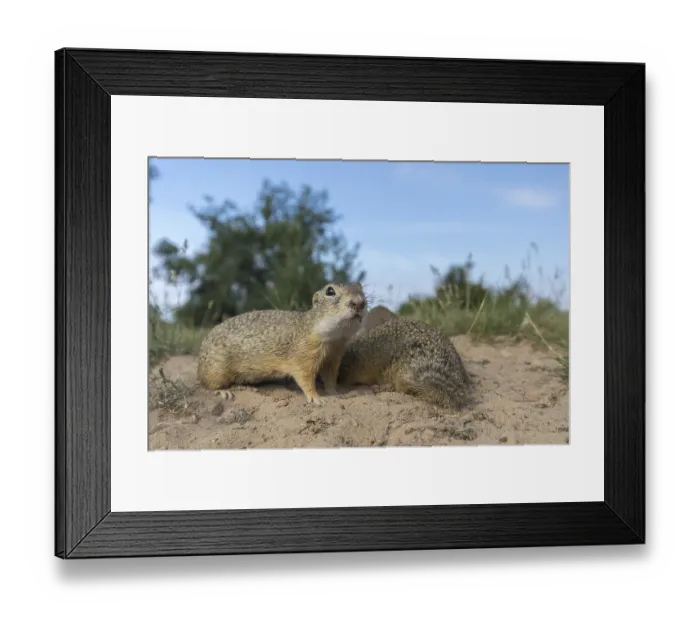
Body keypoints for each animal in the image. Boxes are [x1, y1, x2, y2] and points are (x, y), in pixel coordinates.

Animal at [196, 282, 367, 405]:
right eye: (330, 291)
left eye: (361, 287)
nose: (359, 303)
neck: (333, 338)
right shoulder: (303, 356)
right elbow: (306, 379)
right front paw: (316, 398)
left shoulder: (333, 358)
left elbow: (330, 378)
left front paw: (335, 393)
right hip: (216, 370)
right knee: (207, 385)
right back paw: (224, 391)